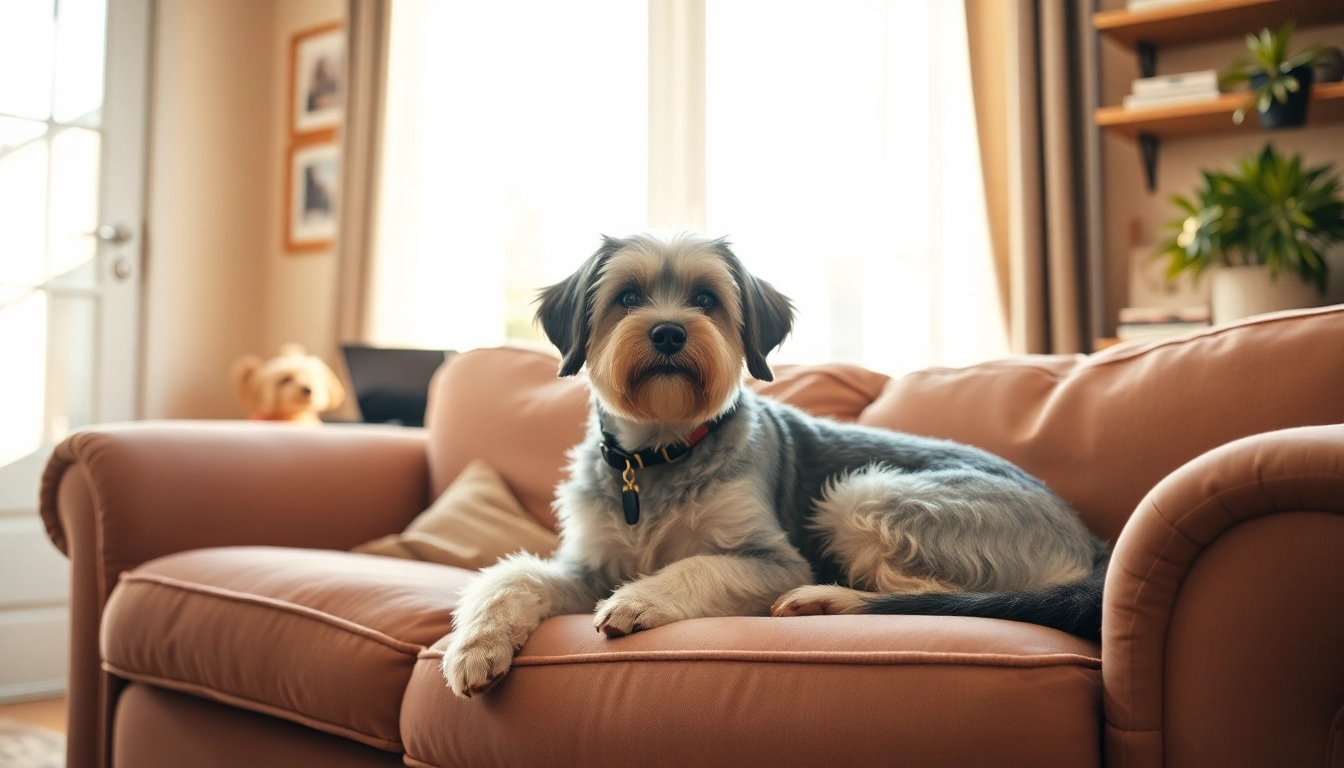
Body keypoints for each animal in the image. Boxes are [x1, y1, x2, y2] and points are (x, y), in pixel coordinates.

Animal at [438, 232, 1102, 699]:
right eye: (627, 297)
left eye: (706, 299)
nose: (669, 332)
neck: (659, 453)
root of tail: (1090, 541)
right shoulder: (590, 566)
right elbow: (511, 577)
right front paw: (475, 648)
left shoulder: (772, 560)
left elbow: (697, 565)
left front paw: (639, 600)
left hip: (864, 495)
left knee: (937, 599)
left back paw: (826, 601)